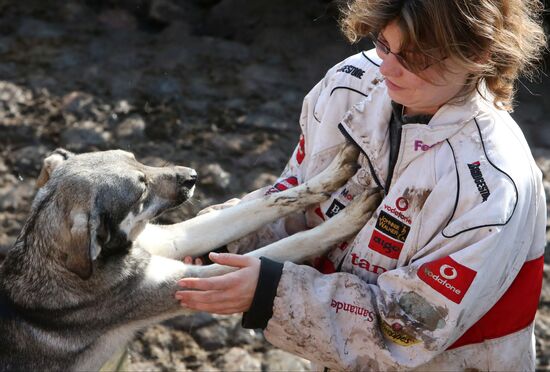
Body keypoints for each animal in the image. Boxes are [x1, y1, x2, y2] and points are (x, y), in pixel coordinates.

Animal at [0, 145, 382, 370]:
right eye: (140, 189)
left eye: (137, 157)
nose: (193, 176)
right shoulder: (187, 280)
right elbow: (289, 245)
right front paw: (348, 219)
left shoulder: (169, 238)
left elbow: (268, 203)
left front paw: (334, 172)